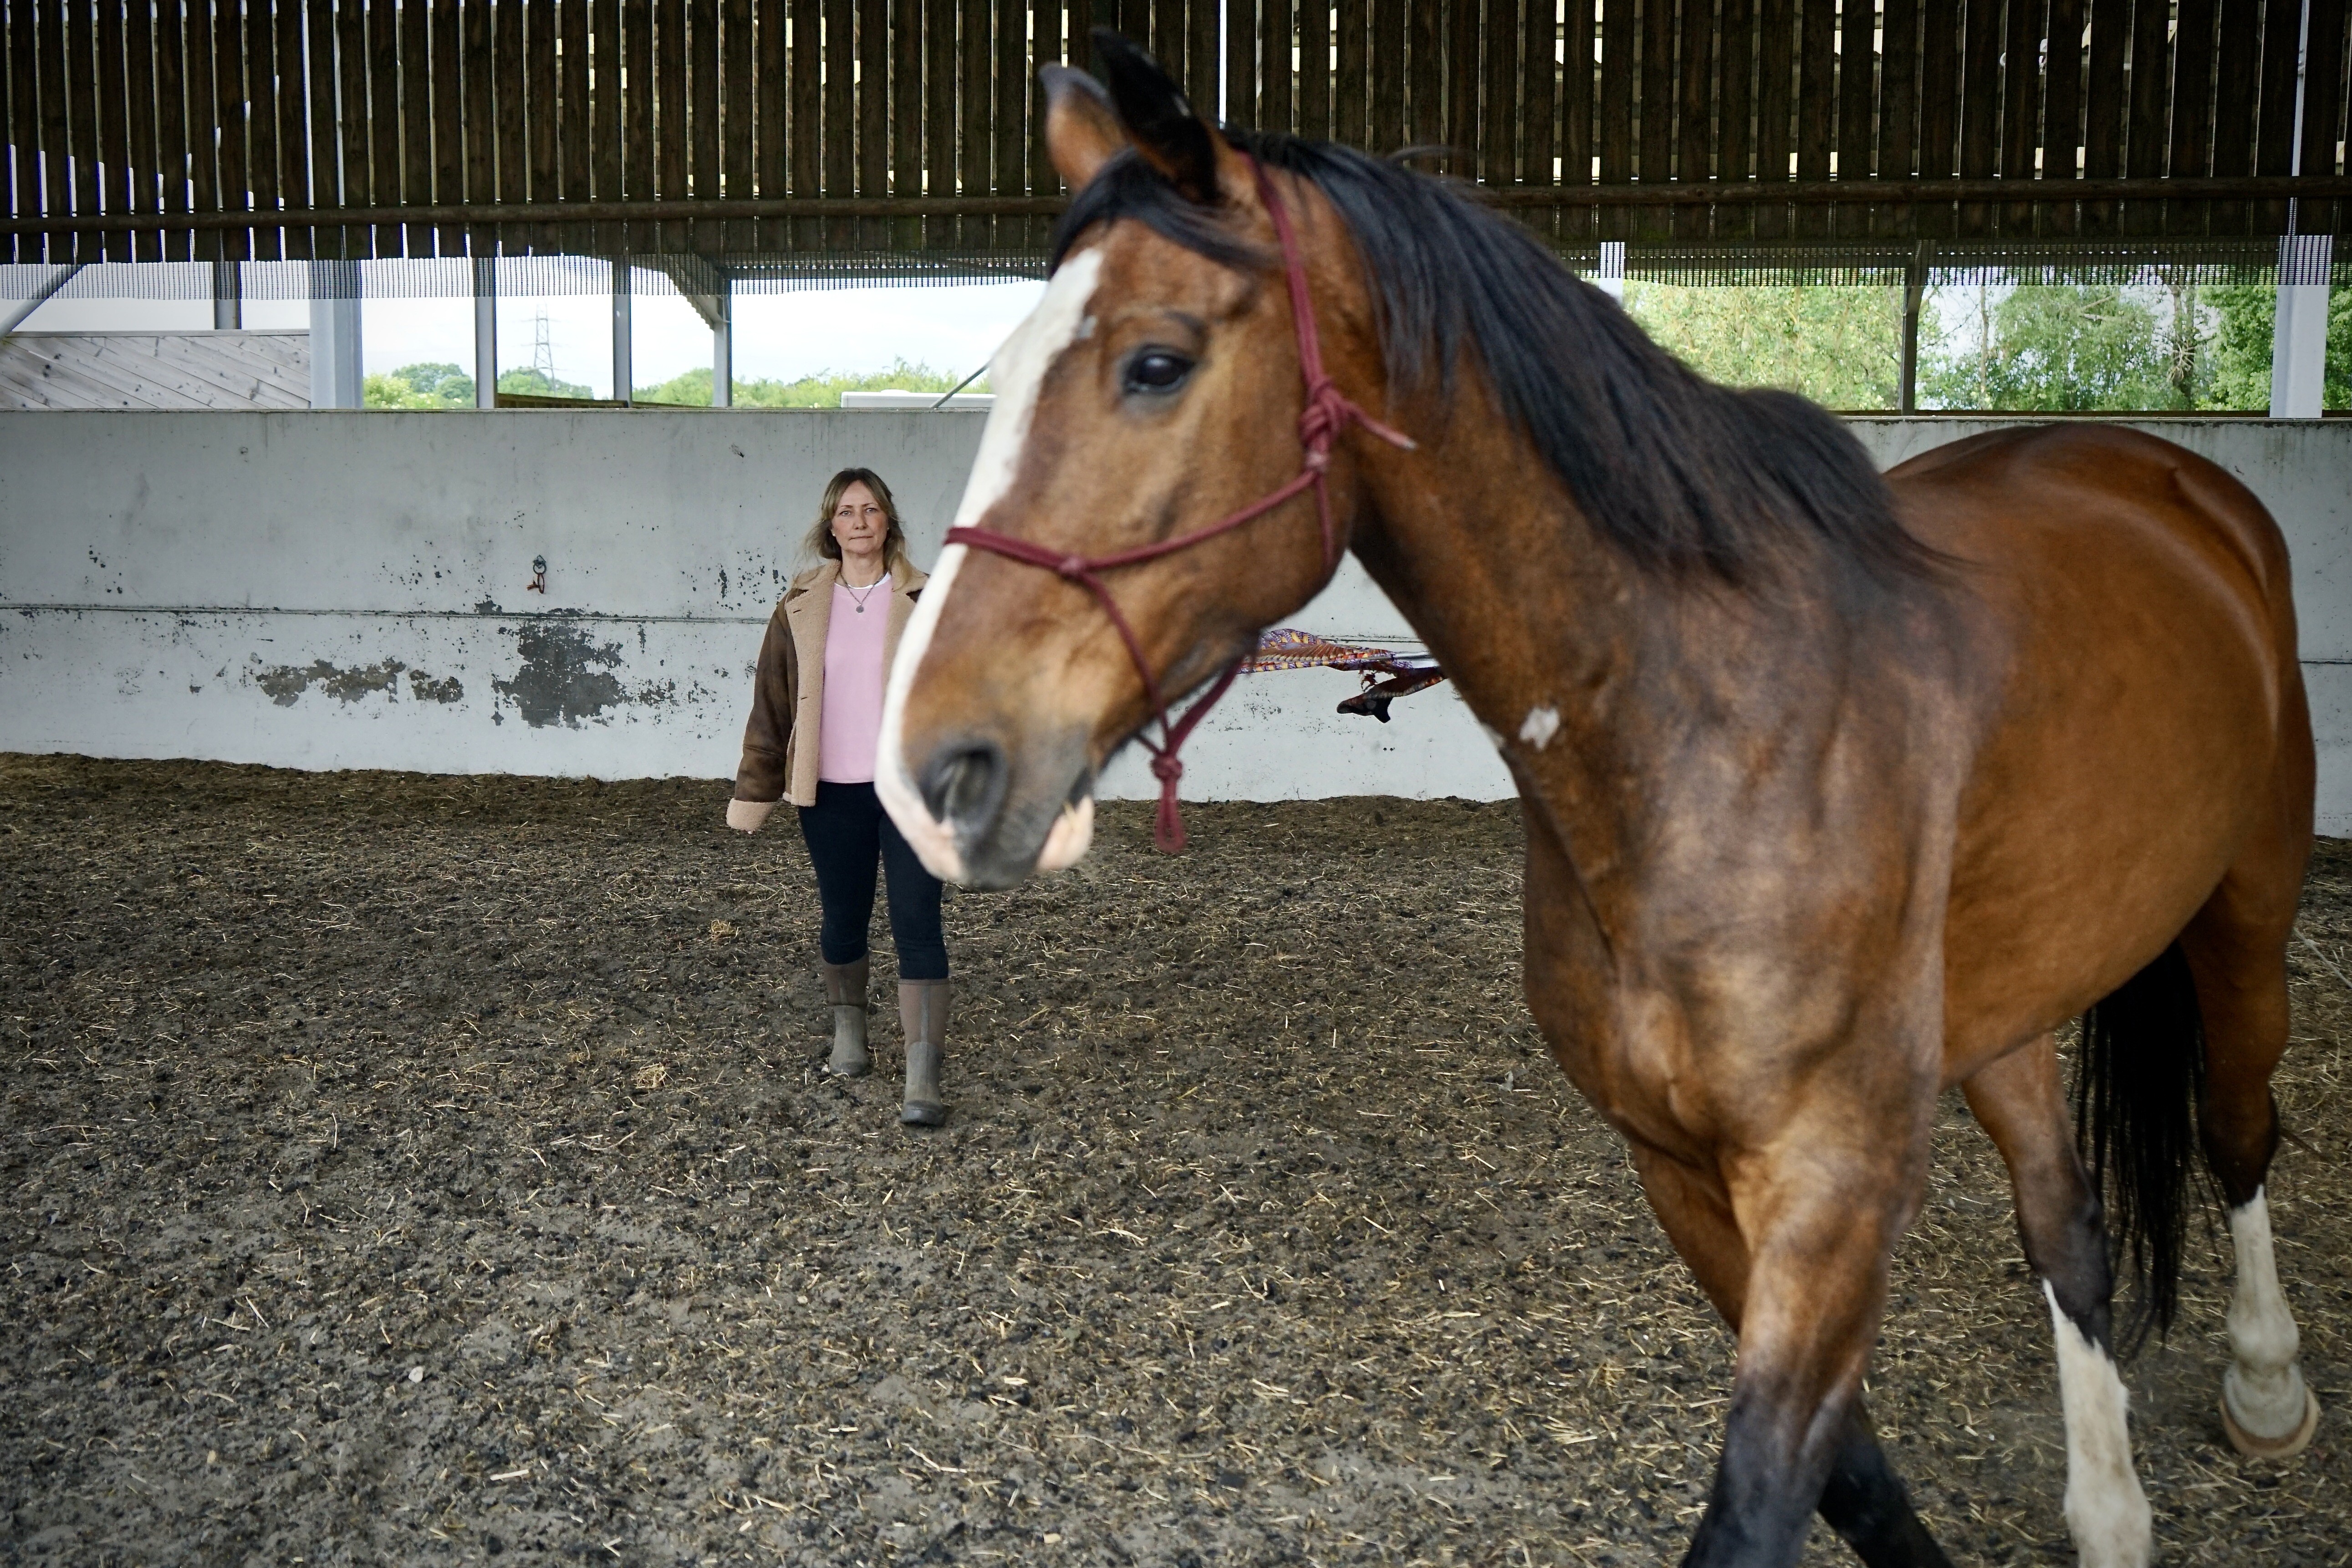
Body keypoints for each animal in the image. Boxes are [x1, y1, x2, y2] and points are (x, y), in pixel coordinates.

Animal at [875, 36, 2324, 1568]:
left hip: (2241, 917)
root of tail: (2169, 477)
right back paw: (2108, 1505)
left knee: (2235, 1131)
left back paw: (2264, 1383)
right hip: (2002, 1009)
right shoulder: (1678, 1173)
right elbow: (1850, 1480)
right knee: (2066, 1228)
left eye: (1155, 364)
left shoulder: (1831, 1184)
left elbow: (1765, 1495)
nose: (934, 760)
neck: (1704, 726)